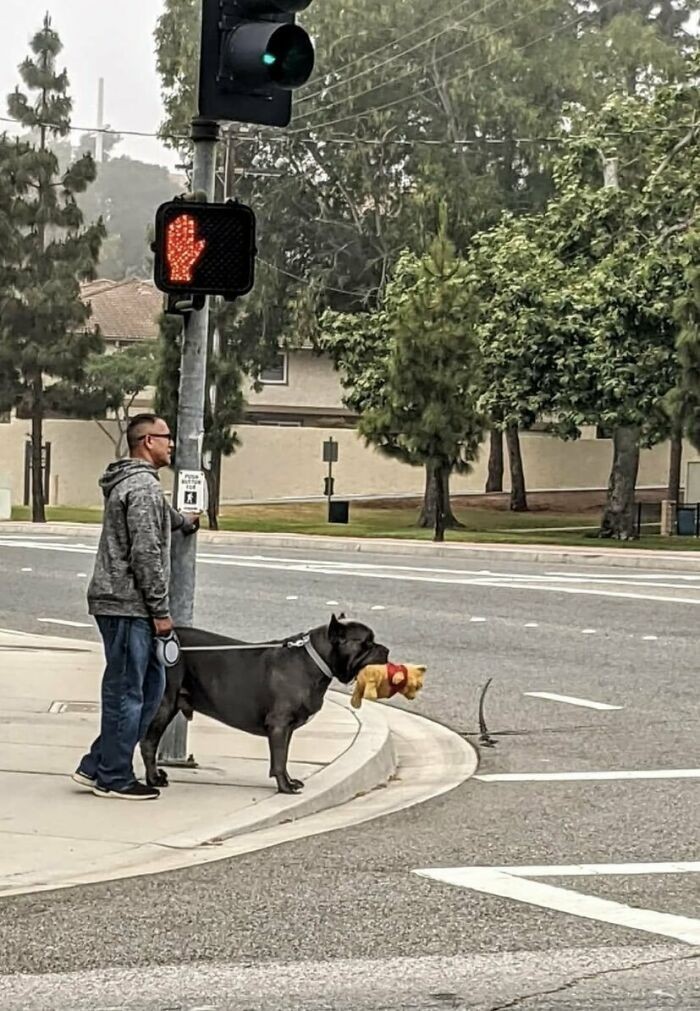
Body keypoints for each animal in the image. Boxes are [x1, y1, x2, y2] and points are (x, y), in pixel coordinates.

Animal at [136, 610, 388, 792]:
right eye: (366, 643)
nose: (385, 649)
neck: (314, 660)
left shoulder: (286, 729)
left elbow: (283, 757)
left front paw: (289, 781)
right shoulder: (279, 724)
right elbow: (279, 759)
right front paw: (285, 787)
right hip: (164, 704)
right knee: (148, 743)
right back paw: (154, 779)